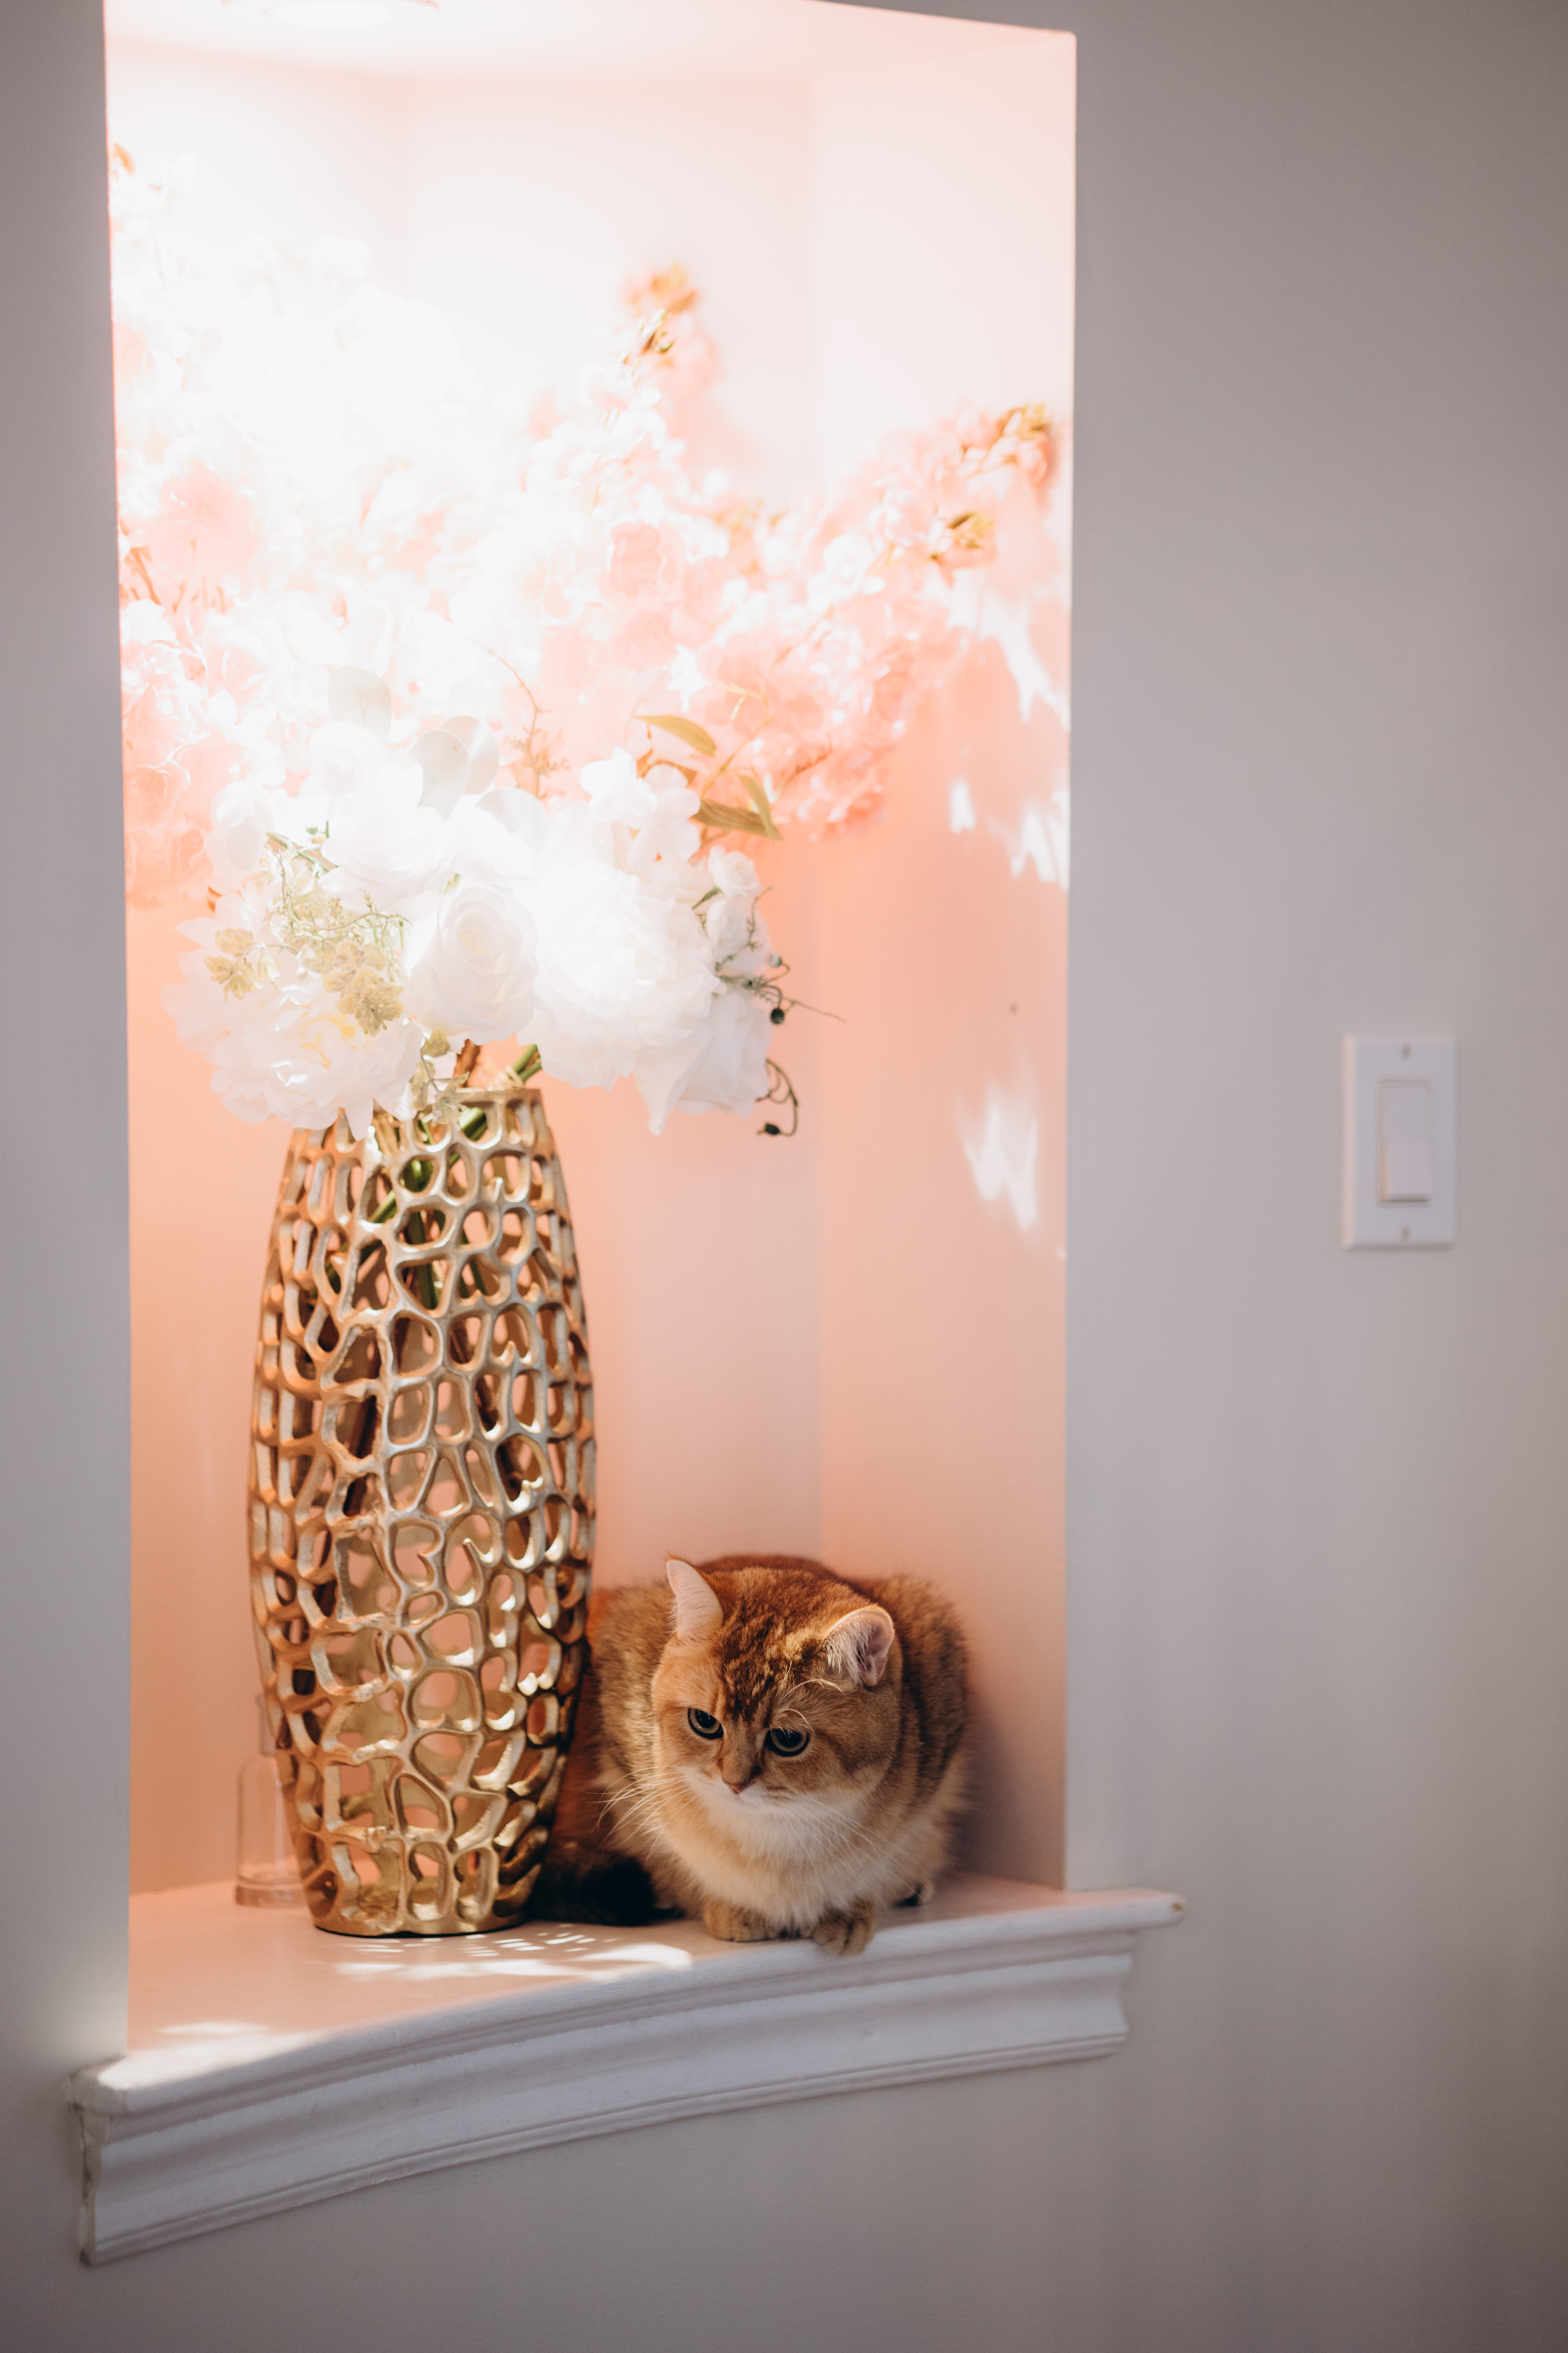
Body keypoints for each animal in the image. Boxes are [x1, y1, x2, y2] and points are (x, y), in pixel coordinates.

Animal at [535, 1553, 967, 1956]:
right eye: (704, 1722)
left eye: (788, 1739)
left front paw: (847, 1910)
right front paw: (733, 1910)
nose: (734, 1782)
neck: (777, 1838)